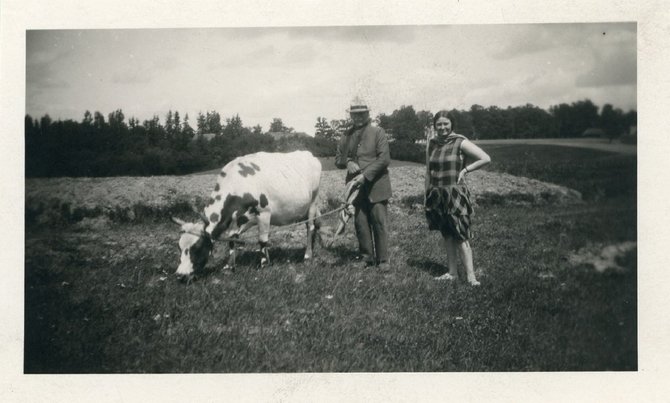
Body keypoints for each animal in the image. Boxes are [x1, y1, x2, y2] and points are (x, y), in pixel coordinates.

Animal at [171, 150, 322, 282]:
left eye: (196, 248)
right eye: (179, 247)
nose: (180, 275)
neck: (237, 184)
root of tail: (309, 154)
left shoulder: (264, 213)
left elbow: (262, 241)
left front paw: (264, 264)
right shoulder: (235, 220)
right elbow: (232, 240)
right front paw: (229, 266)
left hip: (313, 203)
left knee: (310, 228)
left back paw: (307, 256)